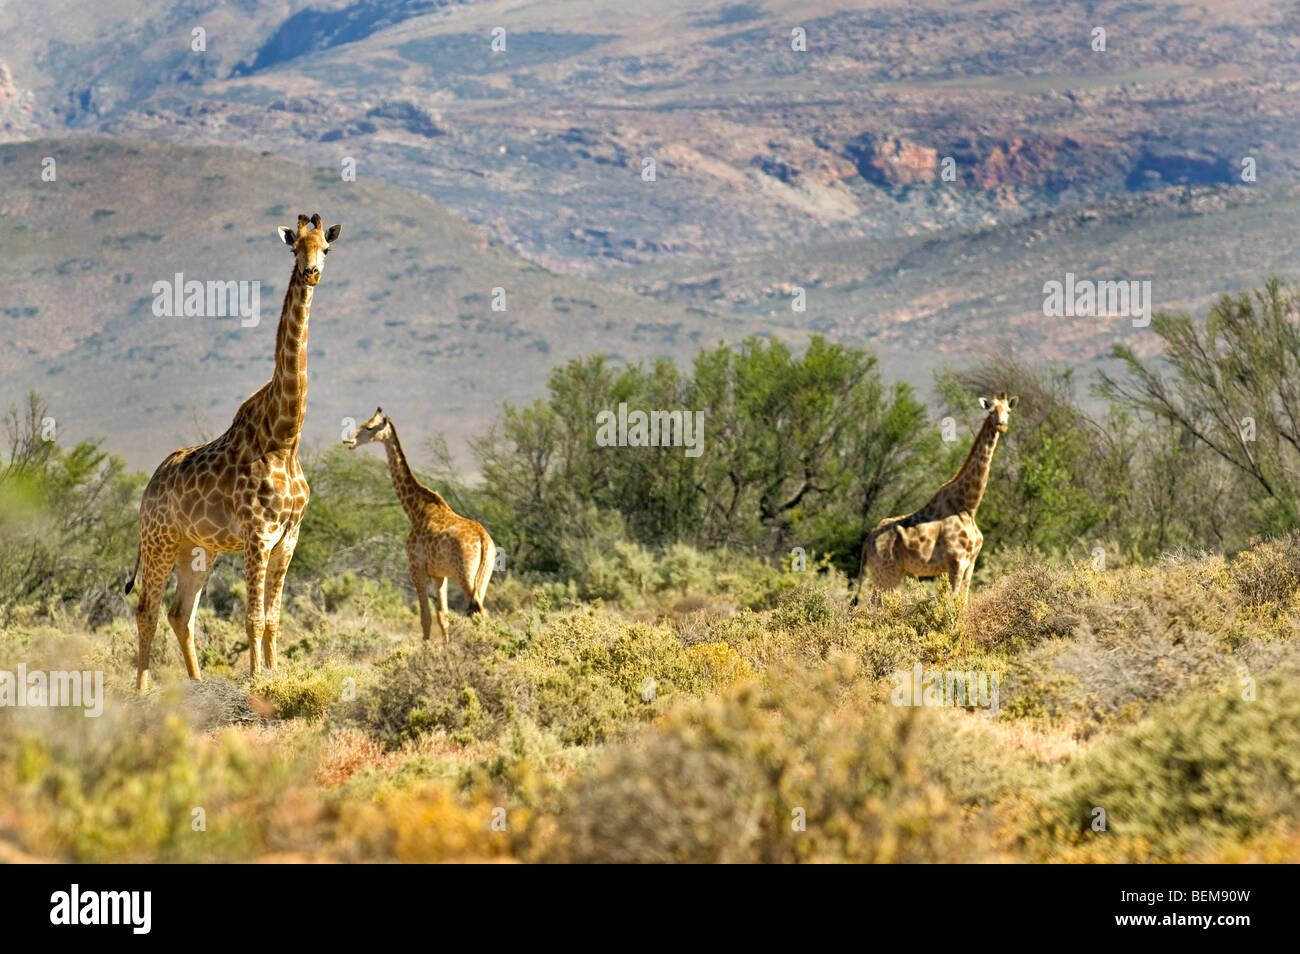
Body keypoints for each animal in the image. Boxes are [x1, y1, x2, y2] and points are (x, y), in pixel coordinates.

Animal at [125, 213, 342, 691]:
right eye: (294, 247)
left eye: (326, 248)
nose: (311, 272)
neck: (285, 437)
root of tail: (149, 486)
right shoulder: (257, 534)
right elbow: (253, 619)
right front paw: (258, 680)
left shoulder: (289, 537)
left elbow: (274, 619)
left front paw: (275, 676)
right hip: (159, 539)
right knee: (147, 609)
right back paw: (142, 691)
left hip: (196, 548)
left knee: (180, 613)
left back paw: (197, 684)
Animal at [344, 408, 495, 643]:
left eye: (369, 427)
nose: (349, 441)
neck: (415, 511)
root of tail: (484, 541)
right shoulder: (439, 575)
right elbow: (443, 617)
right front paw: (446, 647)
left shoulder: (416, 568)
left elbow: (425, 618)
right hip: (485, 575)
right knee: (482, 612)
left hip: (465, 575)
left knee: (477, 613)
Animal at [851, 392, 1017, 609]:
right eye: (990, 411)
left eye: (1008, 411)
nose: (1001, 425)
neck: (969, 505)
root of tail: (866, 543)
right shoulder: (956, 563)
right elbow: (952, 604)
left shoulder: (970, 564)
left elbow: (962, 603)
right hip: (886, 573)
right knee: (874, 606)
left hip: (890, 573)